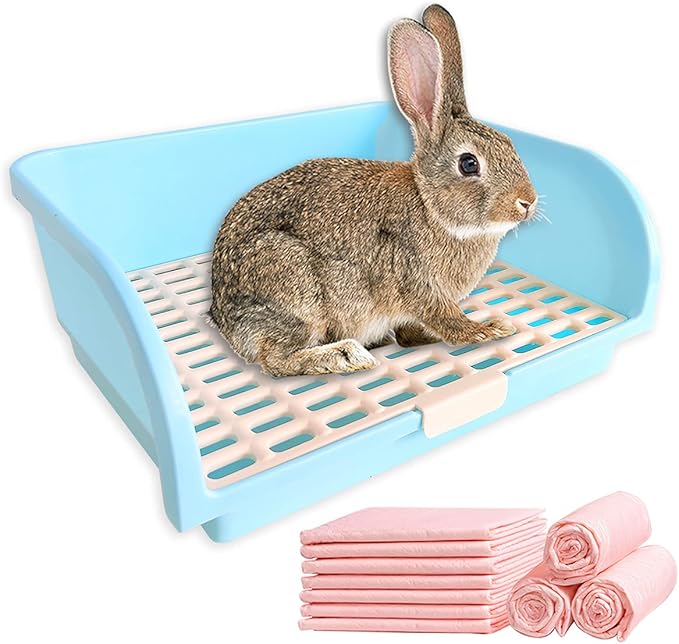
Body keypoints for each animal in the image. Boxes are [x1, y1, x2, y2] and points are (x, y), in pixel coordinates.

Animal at [210, 4, 538, 377]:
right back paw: (346, 355)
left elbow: (412, 331)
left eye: (509, 144)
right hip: (293, 286)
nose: (527, 201)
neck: (431, 208)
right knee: (277, 360)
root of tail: (222, 316)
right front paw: (491, 329)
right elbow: (447, 320)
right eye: (469, 164)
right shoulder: (419, 283)